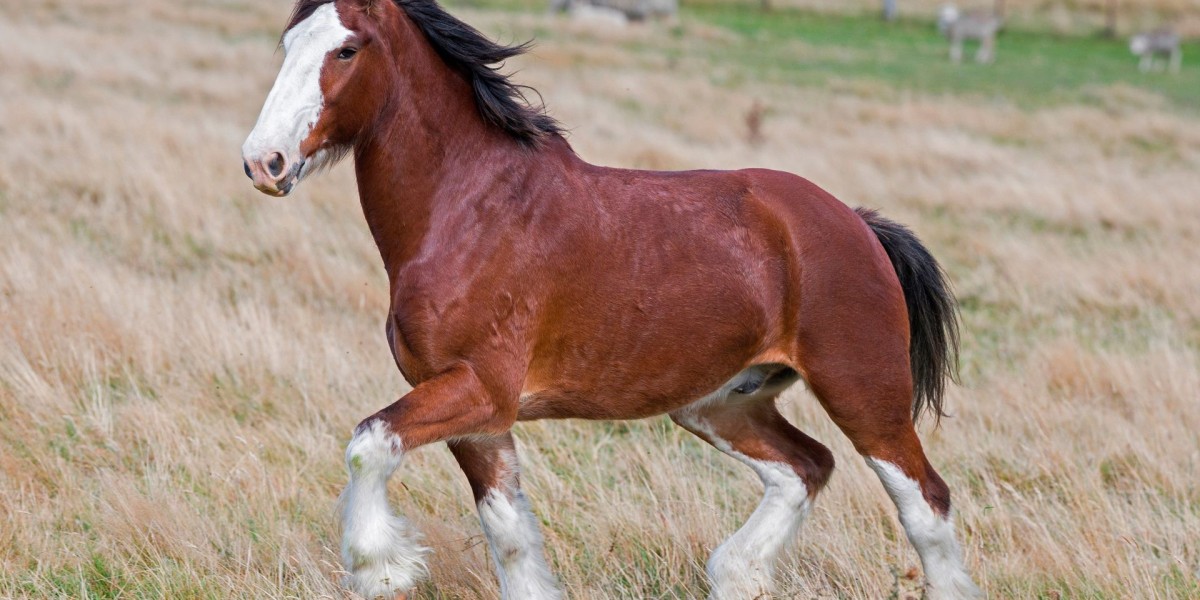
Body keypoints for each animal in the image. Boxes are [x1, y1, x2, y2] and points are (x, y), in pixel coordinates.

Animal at [241, 0, 983, 598]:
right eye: (288, 43)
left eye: (346, 49)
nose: (263, 162)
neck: (468, 208)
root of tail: (856, 222)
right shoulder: (479, 420)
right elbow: (509, 536)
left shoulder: (480, 390)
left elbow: (368, 444)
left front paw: (381, 568)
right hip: (719, 403)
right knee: (804, 468)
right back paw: (738, 572)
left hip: (864, 394)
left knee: (925, 504)